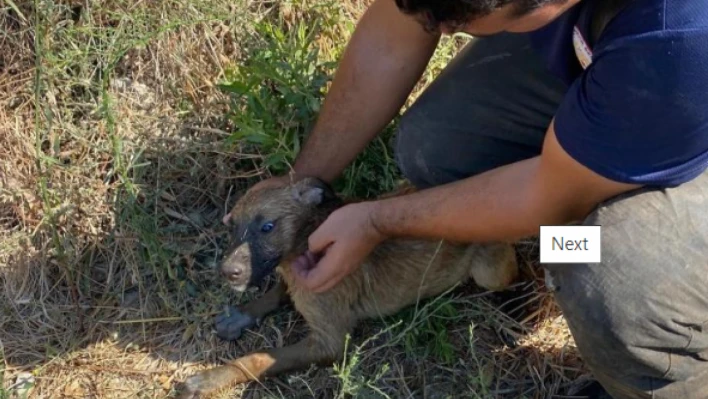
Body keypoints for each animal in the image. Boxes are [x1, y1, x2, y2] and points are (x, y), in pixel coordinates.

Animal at [177, 179, 520, 399]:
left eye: (267, 227)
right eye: (232, 226)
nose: (227, 272)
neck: (307, 239)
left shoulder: (329, 342)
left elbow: (259, 358)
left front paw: (210, 378)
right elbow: (279, 291)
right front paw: (242, 314)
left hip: (488, 271)